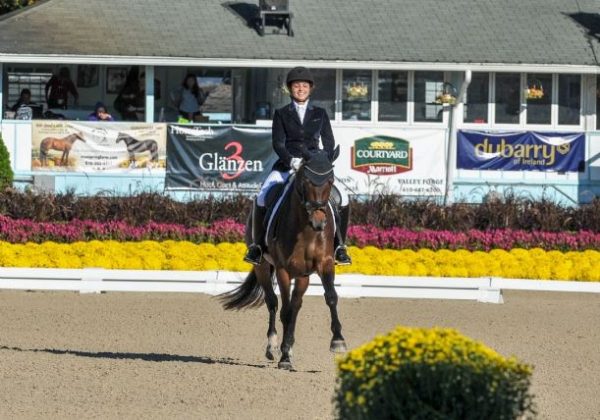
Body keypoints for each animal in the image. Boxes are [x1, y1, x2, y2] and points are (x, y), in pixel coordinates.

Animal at [220, 149, 344, 370]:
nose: (319, 223)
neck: (306, 229)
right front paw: (284, 357)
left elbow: (330, 296)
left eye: (330, 180)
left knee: (295, 305)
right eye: (305, 181)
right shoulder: (283, 270)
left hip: (303, 275)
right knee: (273, 302)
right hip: (262, 267)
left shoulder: (325, 264)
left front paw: (338, 341)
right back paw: (273, 347)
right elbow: (284, 310)